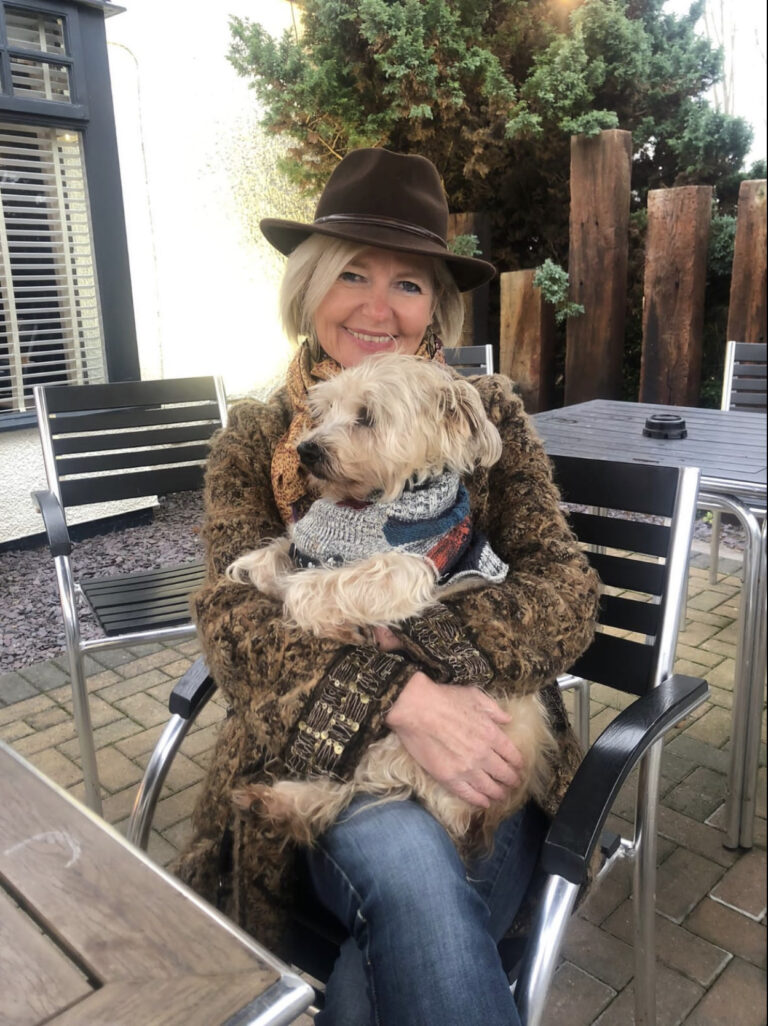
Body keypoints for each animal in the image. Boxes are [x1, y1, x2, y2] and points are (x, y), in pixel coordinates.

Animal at [224, 357, 553, 853]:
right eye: (323, 411)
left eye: (367, 417)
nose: (306, 450)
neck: (366, 504)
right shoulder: (308, 547)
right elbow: (277, 555)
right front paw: (253, 569)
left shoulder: (407, 569)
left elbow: (313, 586)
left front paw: (333, 619)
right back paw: (274, 804)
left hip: (412, 745)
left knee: (359, 778)